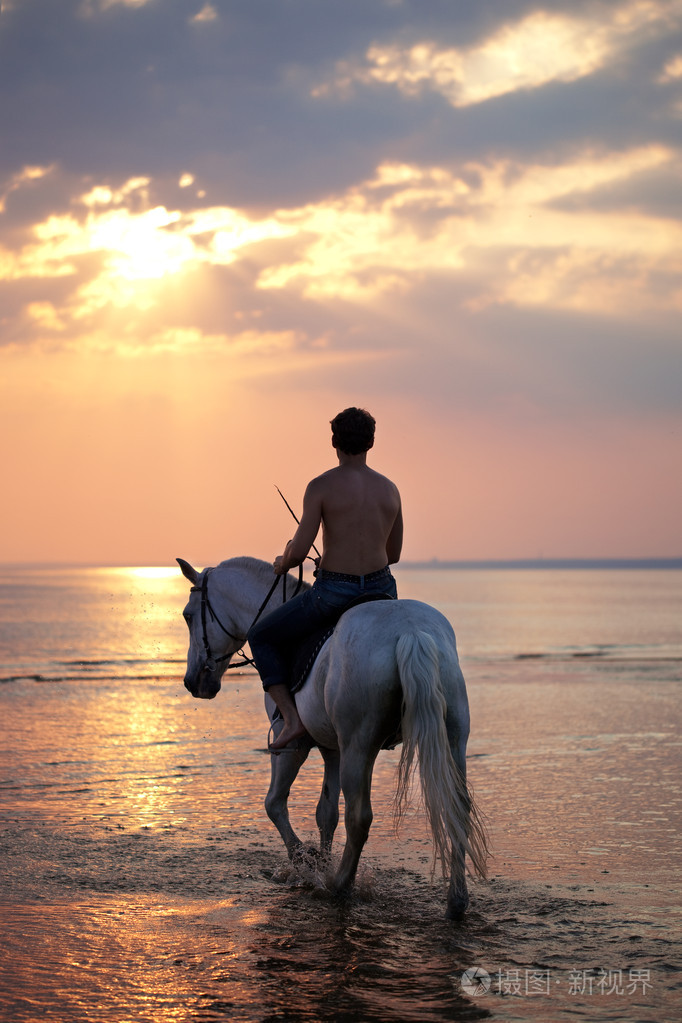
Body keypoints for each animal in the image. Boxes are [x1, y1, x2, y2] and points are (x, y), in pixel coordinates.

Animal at [178, 560, 488, 920]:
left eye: (188, 616)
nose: (193, 681)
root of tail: (411, 632)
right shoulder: (332, 748)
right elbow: (326, 812)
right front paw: (321, 861)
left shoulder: (291, 743)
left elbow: (274, 803)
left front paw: (304, 860)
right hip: (452, 739)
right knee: (457, 807)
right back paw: (456, 901)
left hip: (359, 747)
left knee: (359, 817)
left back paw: (340, 885)